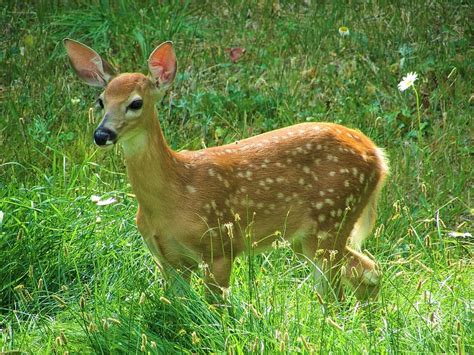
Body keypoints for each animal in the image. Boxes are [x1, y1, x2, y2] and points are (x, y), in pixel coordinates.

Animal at [65, 38, 388, 300]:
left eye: (135, 103)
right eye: (101, 101)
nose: (102, 134)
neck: (175, 192)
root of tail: (377, 155)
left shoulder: (220, 245)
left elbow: (214, 309)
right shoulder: (168, 260)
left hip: (332, 216)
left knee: (344, 287)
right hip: (308, 235)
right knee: (364, 271)